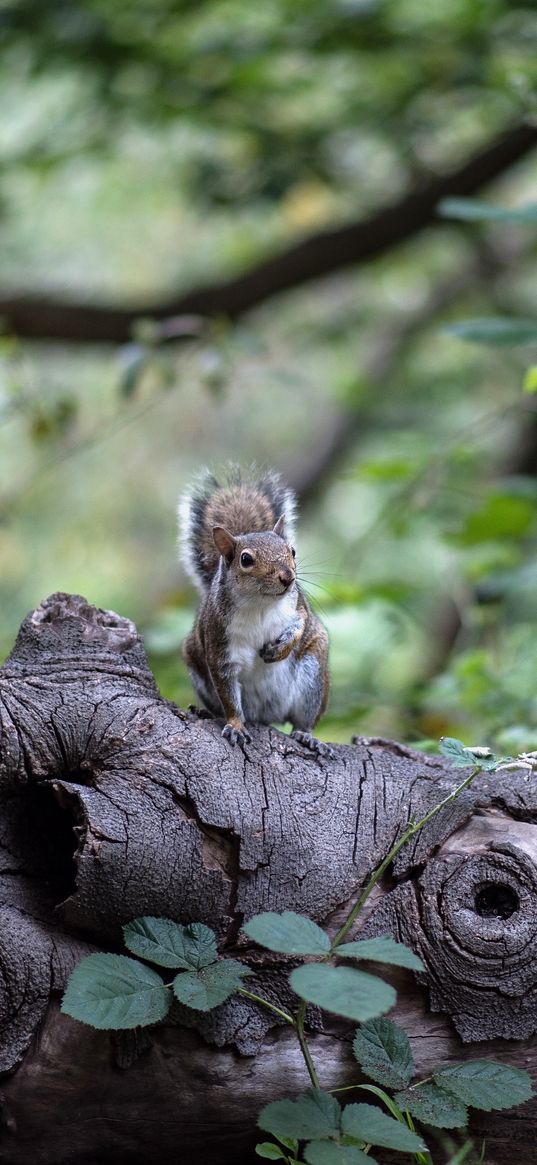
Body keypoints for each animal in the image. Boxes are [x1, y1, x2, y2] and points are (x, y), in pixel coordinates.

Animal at [178, 466, 328, 750]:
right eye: (245, 559)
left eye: (292, 550)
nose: (288, 577)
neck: (260, 603)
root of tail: (267, 715)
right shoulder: (219, 645)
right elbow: (229, 697)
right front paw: (236, 726)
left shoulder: (297, 605)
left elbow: (301, 623)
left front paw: (281, 649)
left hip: (314, 675)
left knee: (304, 719)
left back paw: (306, 735)